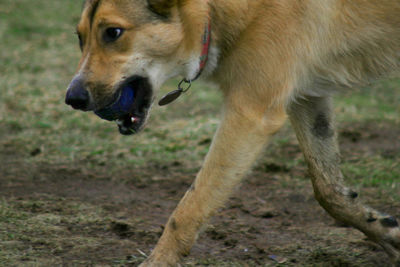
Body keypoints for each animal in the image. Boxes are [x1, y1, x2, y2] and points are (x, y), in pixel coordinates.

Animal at [66, 0, 400, 266]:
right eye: (80, 37)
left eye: (113, 33)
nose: (72, 98)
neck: (214, 9)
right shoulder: (306, 98)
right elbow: (328, 190)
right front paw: (386, 231)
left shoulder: (250, 115)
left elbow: (189, 208)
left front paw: (158, 261)